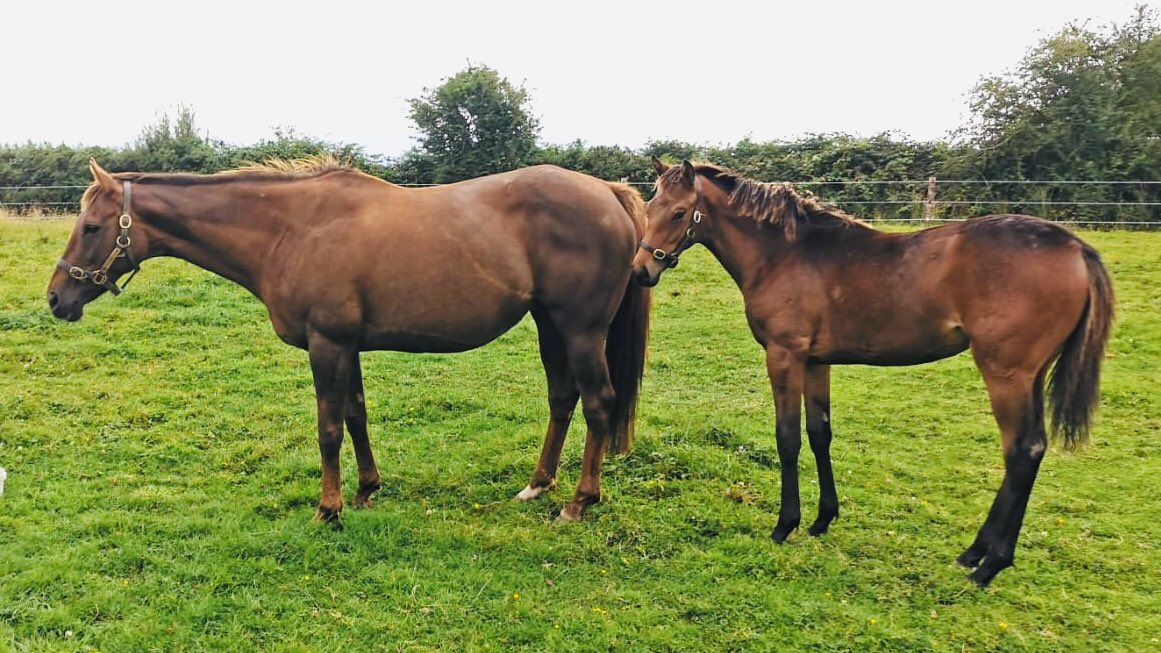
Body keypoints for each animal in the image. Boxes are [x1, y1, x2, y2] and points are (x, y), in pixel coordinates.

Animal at [48, 158, 651, 524]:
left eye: (93, 227)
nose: (56, 298)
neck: (290, 229)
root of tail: (607, 191)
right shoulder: (348, 346)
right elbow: (357, 415)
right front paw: (365, 490)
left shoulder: (328, 345)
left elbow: (329, 428)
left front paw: (329, 507)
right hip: (550, 325)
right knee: (562, 398)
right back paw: (538, 484)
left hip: (580, 330)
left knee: (598, 404)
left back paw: (579, 501)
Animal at [632, 159, 1113, 586]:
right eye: (649, 207)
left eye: (679, 213)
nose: (641, 271)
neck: (785, 254)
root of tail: (1077, 248)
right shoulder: (816, 362)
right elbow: (819, 433)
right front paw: (823, 519)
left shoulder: (785, 356)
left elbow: (787, 439)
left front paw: (785, 524)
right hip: (1030, 374)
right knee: (1031, 450)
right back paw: (976, 554)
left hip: (1007, 373)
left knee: (1021, 451)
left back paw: (988, 564)